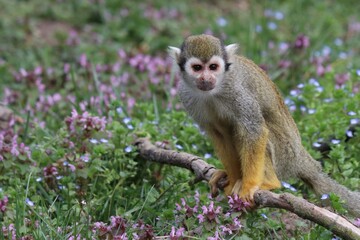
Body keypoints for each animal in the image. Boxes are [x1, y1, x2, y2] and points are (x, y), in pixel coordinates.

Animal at [169, 33, 360, 216]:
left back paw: (269, 182)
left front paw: (249, 186)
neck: (214, 91)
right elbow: (219, 135)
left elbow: (254, 130)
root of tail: (300, 157)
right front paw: (233, 178)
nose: (206, 78)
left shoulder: (237, 91)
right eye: (197, 68)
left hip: (285, 154)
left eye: (213, 67)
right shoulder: (186, 96)